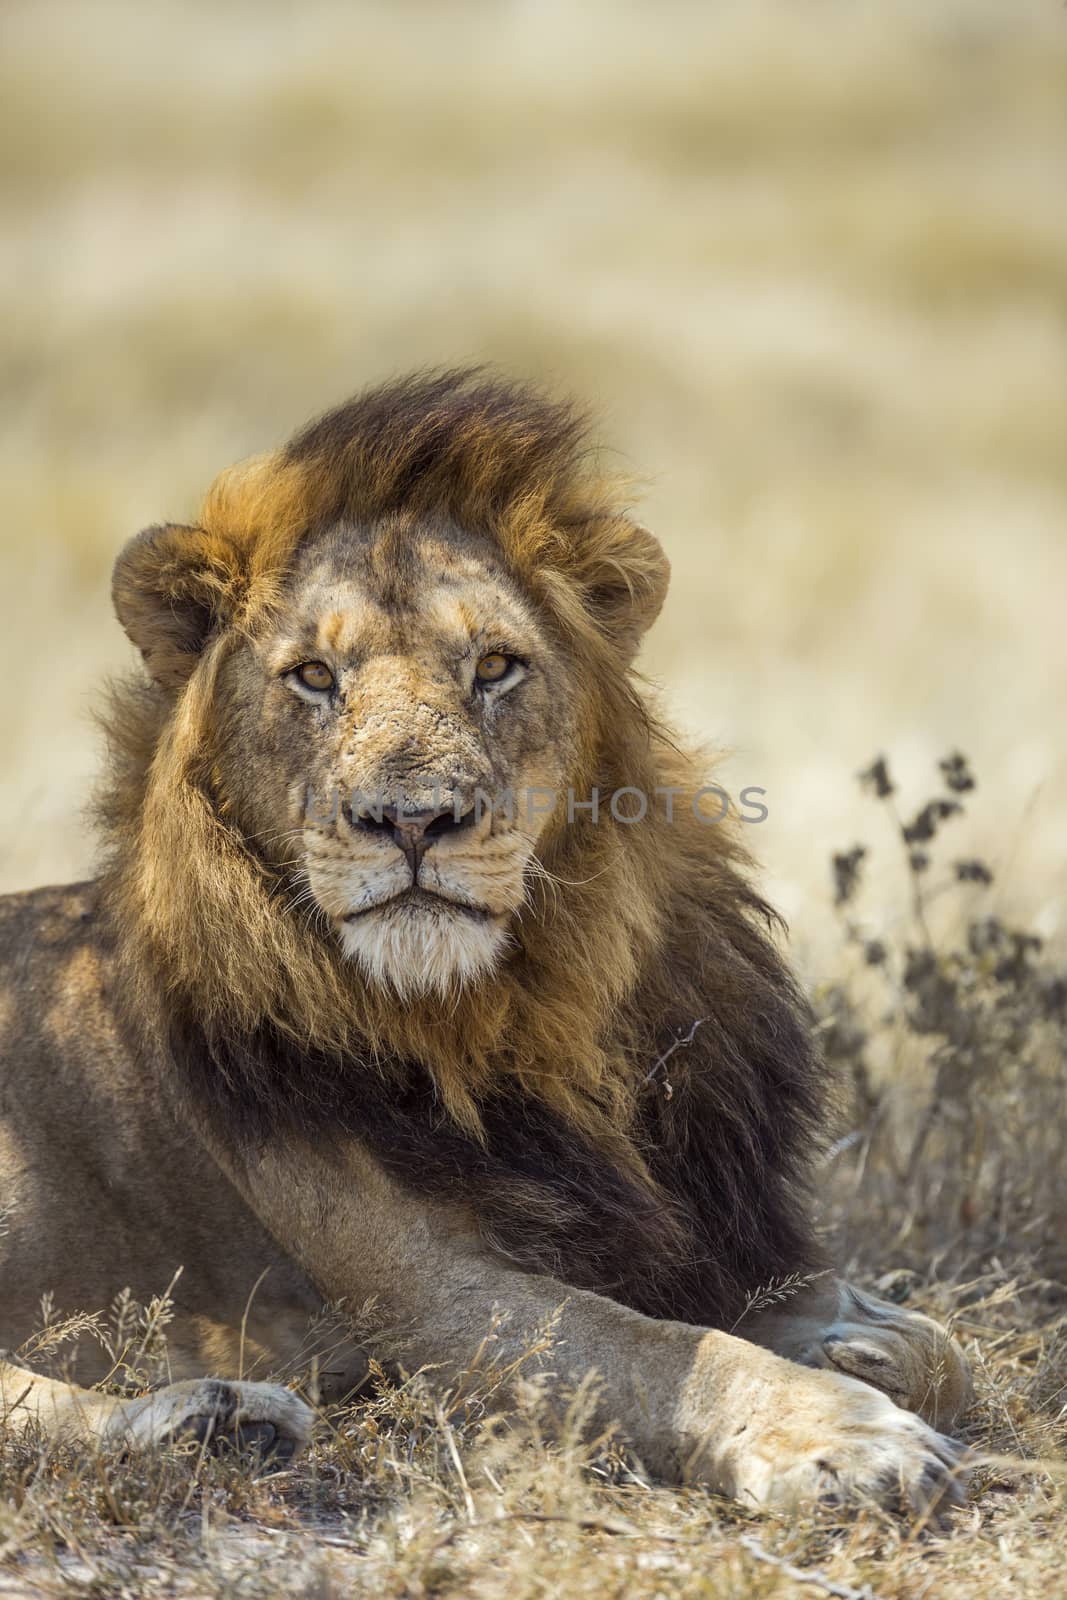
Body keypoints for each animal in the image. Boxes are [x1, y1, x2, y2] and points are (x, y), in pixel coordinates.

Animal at [0, 368, 972, 1504]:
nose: (412, 820)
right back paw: (212, 1418)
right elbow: (663, 1353)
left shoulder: (708, 1227)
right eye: (313, 676)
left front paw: (864, 1344)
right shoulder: (423, 1297)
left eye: (496, 666)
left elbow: (941, 1347)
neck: (528, 1015)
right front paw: (841, 1429)